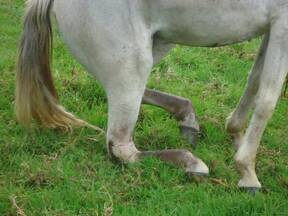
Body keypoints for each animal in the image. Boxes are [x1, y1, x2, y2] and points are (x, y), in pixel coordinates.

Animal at [16, 0, 288, 192]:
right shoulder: (282, 23)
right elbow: (267, 101)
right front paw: (247, 172)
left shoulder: (272, 27)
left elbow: (254, 81)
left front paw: (236, 134)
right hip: (132, 63)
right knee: (122, 148)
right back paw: (191, 162)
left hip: (151, 49)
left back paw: (187, 119)